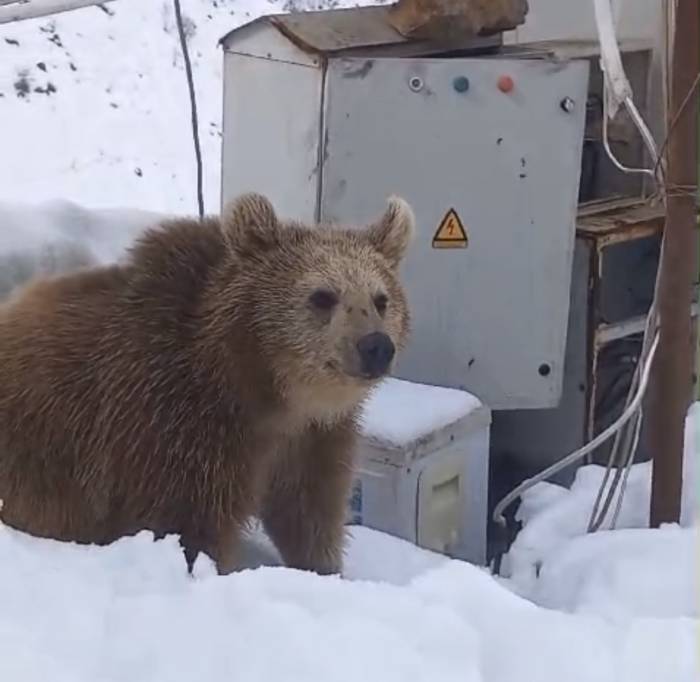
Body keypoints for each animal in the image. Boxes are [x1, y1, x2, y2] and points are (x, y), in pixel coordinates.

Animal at [0, 191, 416, 572]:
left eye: (381, 299)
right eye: (323, 296)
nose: (376, 346)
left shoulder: (311, 439)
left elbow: (309, 512)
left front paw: (323, 567)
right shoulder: (174, 427)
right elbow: (187, 525)